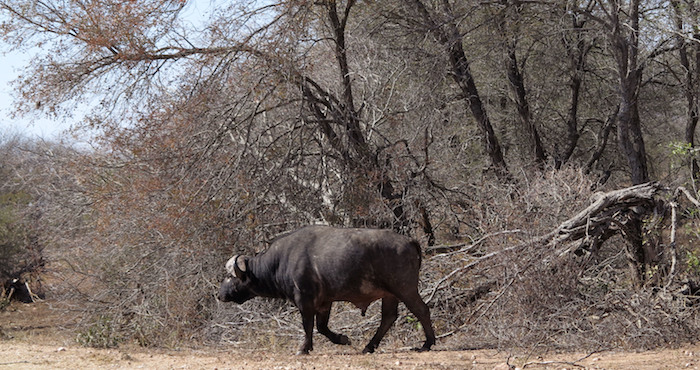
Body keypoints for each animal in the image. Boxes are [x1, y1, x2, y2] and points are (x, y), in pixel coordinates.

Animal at [216, 225, 434, 356]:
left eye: (230, 277)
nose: (220, 294)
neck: (280, 261)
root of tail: (410, 241)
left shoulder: (304, 300)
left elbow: (307, 325)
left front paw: (303, 349)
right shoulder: (324, 302)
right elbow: (322, 327)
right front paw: (342, 339)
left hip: (404, 288)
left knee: (421, 310)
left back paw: (427, 343)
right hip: (390, 295)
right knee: (388, 318)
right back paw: (369, 346)